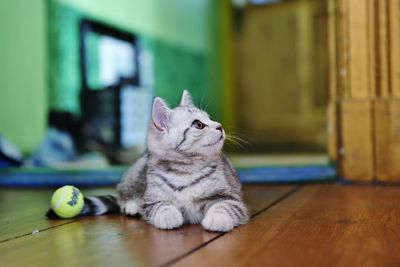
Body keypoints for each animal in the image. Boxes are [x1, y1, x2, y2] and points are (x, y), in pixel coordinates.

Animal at [50, 90, 250, 232]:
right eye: (198, 125)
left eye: (210, 118)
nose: (220, 126)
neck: (184, 170)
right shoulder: (153, 199)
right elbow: (161, 206)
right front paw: (169, 216)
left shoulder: (229, 195)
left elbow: (224, 205)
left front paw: (218, 218)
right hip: (134, 174)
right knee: (123, 196)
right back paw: (131, 205)